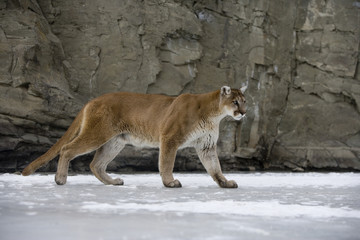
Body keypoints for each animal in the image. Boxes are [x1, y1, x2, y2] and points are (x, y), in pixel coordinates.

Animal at [22, 85, 246, 188]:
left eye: (244, 101)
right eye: (235, 101)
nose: (243, 112)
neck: (214, 114)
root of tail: (92, 100)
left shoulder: (206, 145)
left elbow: (215, 167)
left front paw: (225, 183)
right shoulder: (170, 137)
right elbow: (166, 162)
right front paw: (170, 182)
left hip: (115, 141)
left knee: (96, 164)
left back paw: (112, 182)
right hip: (98, 133)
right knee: (67, 149)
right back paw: (60, 179)